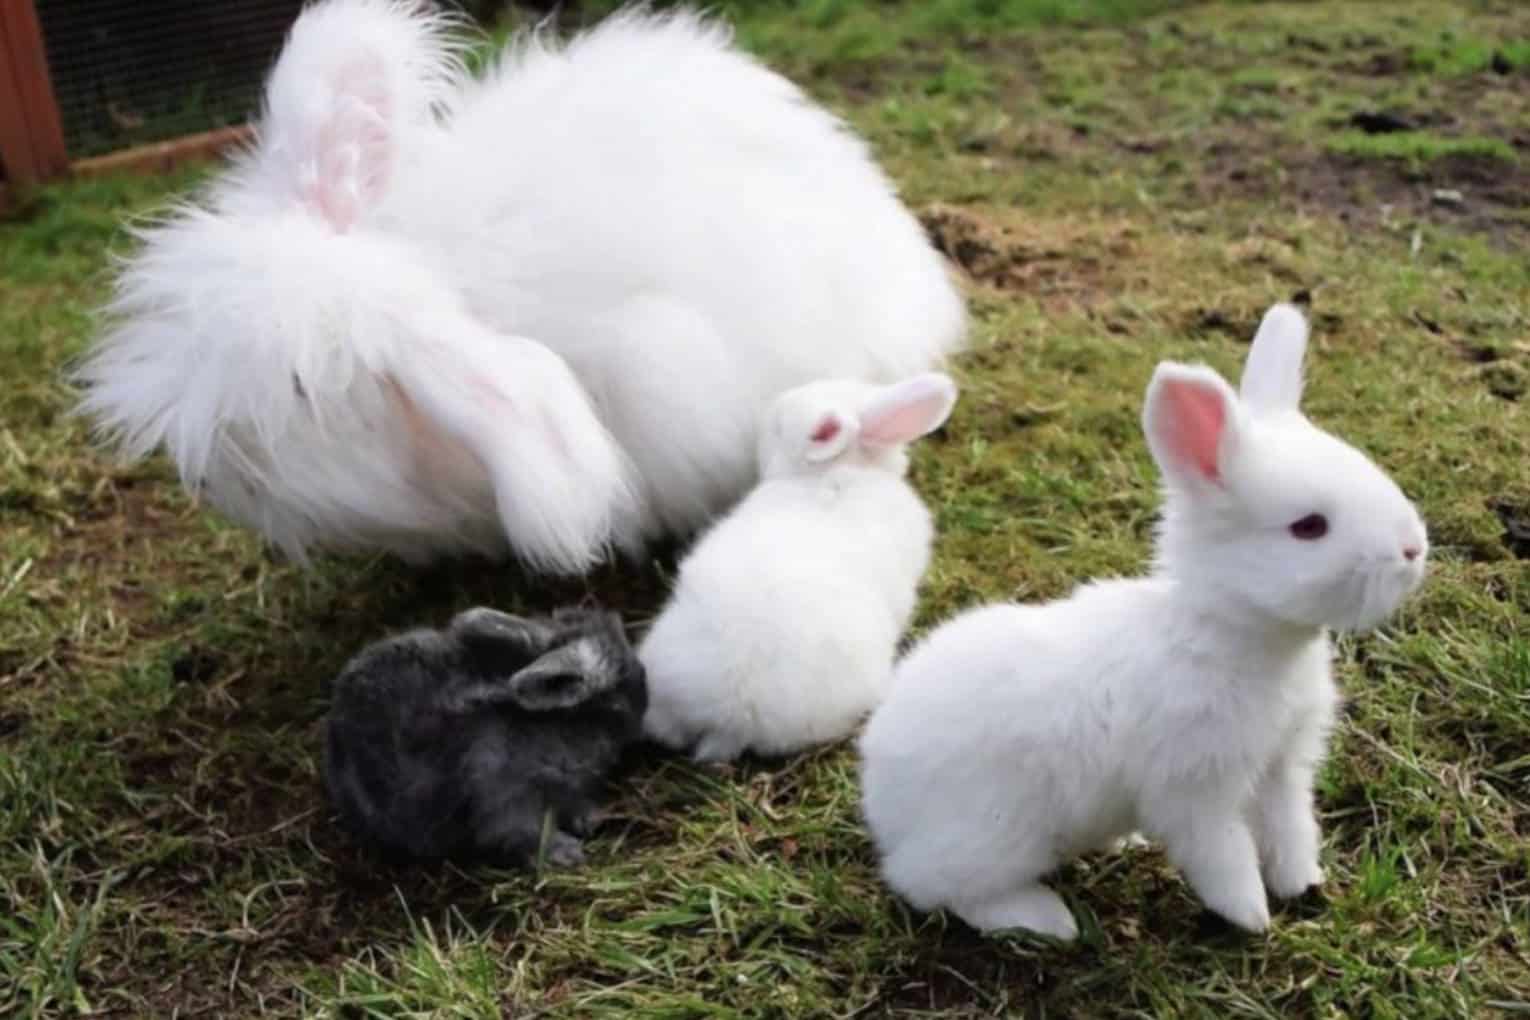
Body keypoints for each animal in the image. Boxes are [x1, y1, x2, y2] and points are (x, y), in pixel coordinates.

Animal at [322, 611, 645, 868]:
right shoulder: (506, 802)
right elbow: (523, 833)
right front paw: (567, 854)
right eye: (619, 696)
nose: (644, 697)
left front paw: (592, 819)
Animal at [856, 302, 1425, 942]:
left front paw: (1303, 886)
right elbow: (1223, 855)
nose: (1413, 549)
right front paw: (1252, 918)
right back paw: (1044, 919)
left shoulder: (1283, 769)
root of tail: (883, 800)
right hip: (1000, 835)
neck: (1239, 639)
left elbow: (1291, 829)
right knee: (932, 886)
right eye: (1309, 527)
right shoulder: (1195, 790)